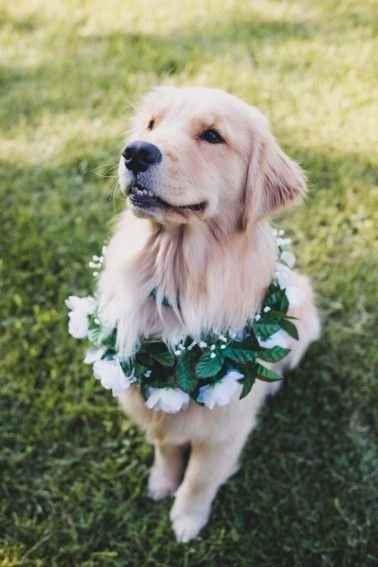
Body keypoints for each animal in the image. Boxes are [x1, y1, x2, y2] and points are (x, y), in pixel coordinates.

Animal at [97, 86, 318, 544]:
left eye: (213, 136)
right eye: (152, 124)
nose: (136, 152)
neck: (175, 273)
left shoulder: (224, 430)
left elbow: (199, 477)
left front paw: (187, 519)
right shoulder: (155, 397)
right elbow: (166, 446)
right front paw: (162, 483)